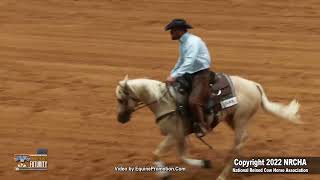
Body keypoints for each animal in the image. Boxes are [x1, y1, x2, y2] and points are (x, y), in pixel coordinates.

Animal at [116, 74, 302, 179]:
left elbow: (161, 154)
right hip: (232, 119)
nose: (120, 119)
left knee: (238, 144)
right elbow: (181, 155)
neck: (164, 101)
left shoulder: (175, 134)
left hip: (240, 119)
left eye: (120, 99)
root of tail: (254, 85)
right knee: (242, 142)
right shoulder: (181, 135)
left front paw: (165, 174)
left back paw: (222, 175)